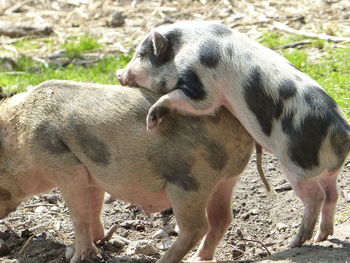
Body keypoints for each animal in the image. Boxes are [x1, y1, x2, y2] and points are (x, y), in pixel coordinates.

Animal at [0, 80, 258, 263]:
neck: (21, 136)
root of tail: (242, 131)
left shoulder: (65, 166)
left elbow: (78, 215)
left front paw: (76, 257)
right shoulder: (90, 174)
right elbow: (94, 207)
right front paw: (96, 242)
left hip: (190, 181)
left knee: (197, 226)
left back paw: (165, 261)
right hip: (226, 180)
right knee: (222, 218)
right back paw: (199, 259)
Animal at [117, 21, 350, 252]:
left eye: (141, 54)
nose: (119, 74)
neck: (186, 45)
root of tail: (343, 132)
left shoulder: (201, 86)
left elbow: (193, 101)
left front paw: (151, 121)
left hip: (298, 166)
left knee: (316, 197)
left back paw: (296, 243)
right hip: (325, 172)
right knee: (332, 194)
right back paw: (322, 236)